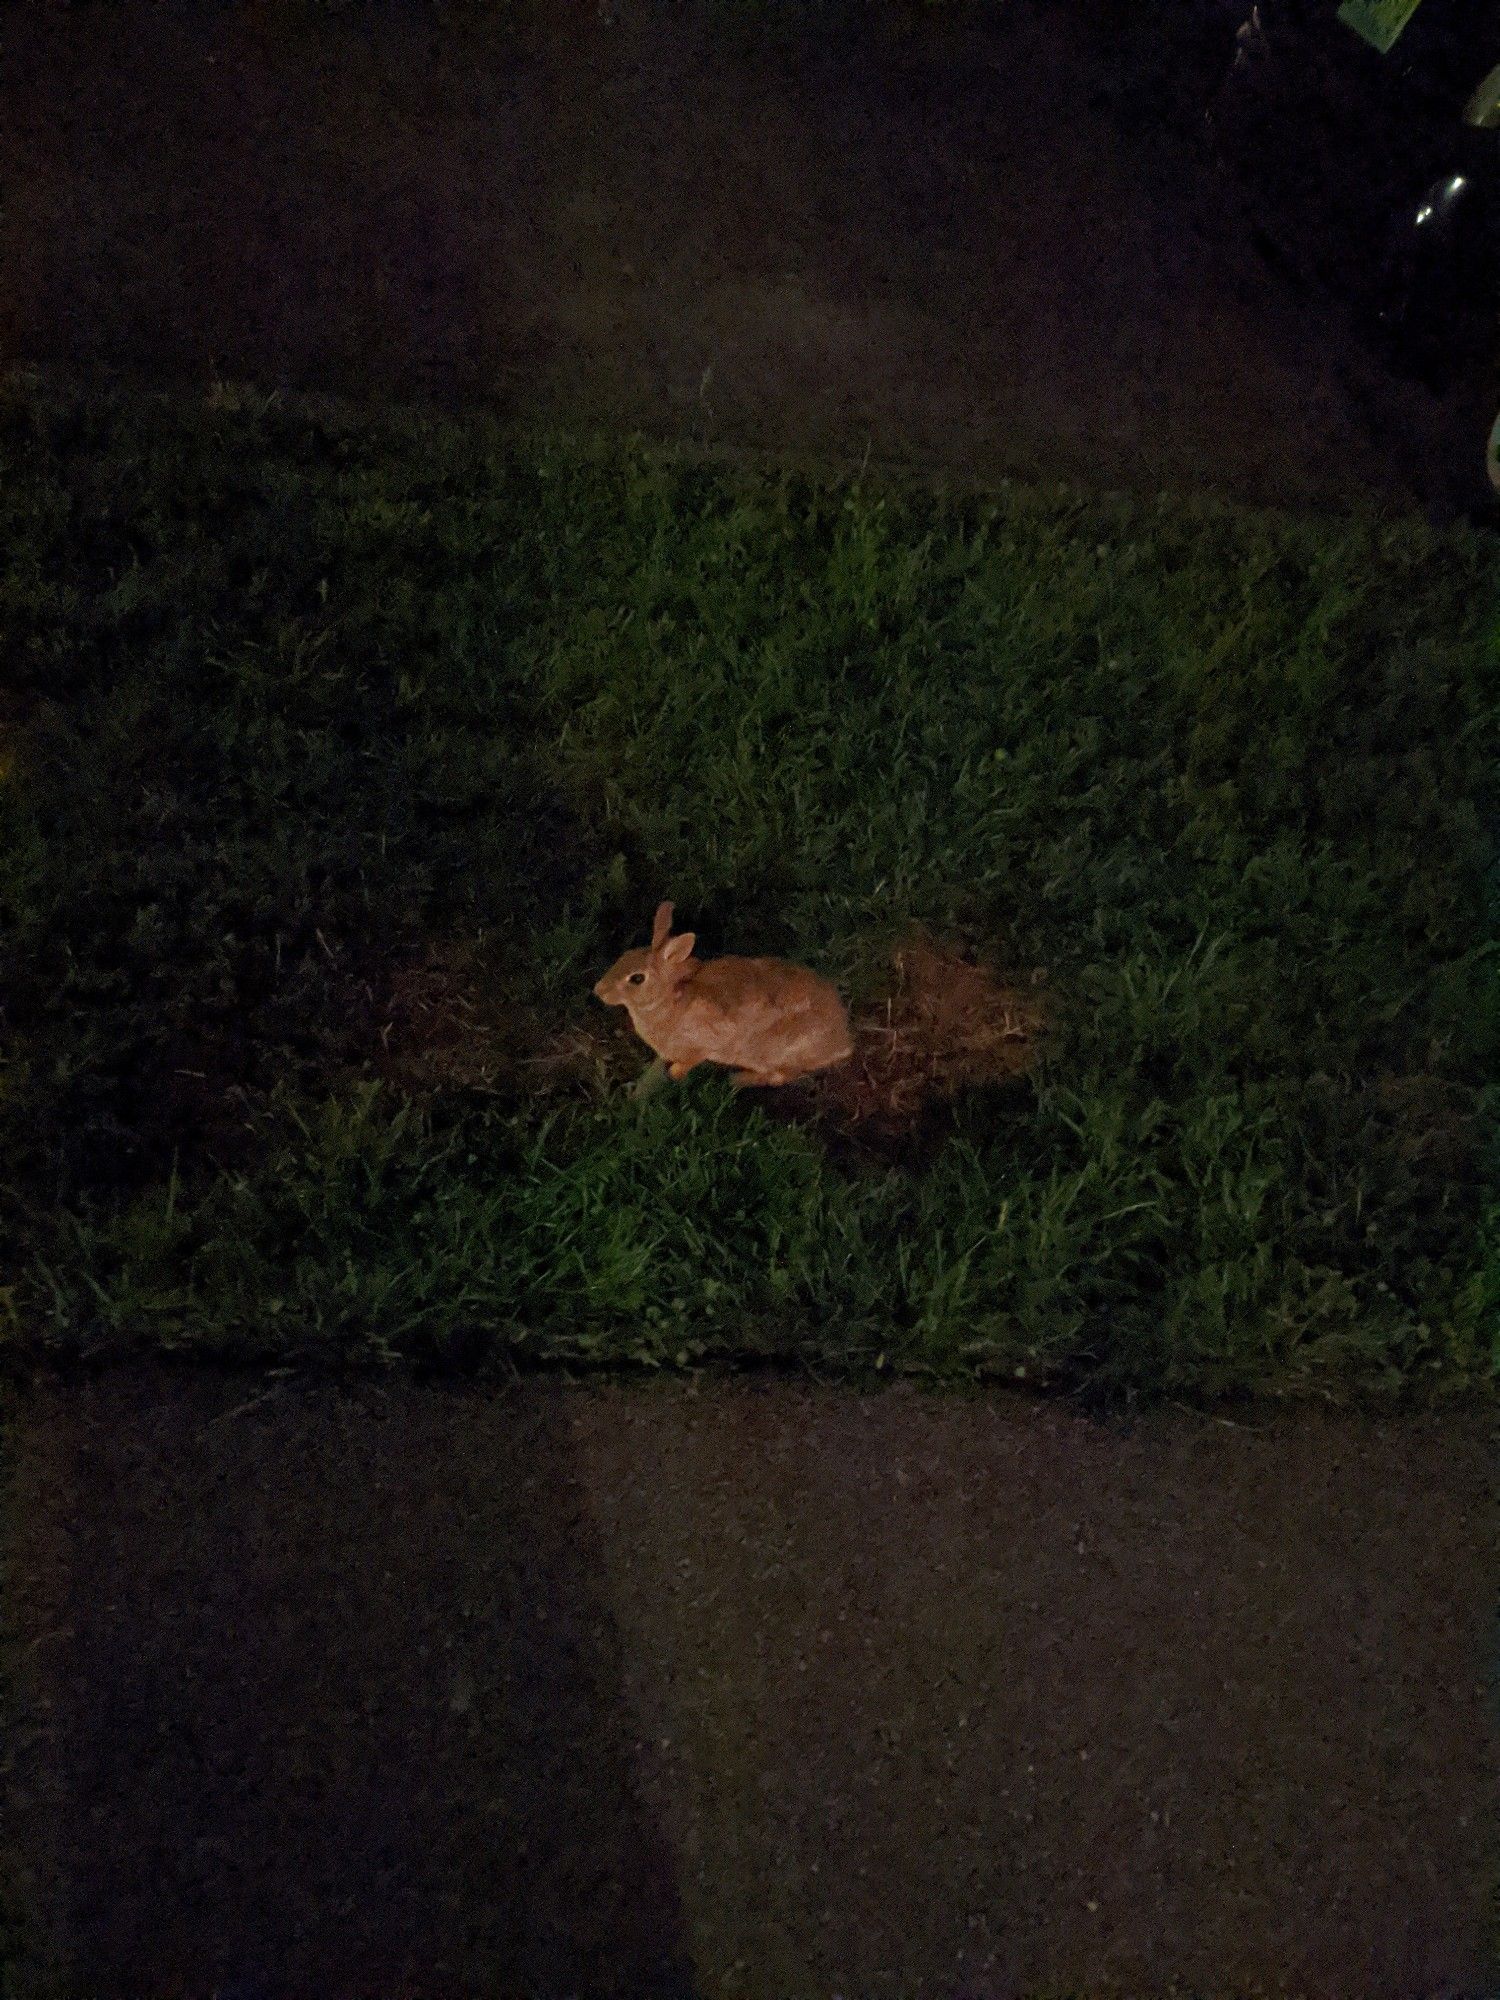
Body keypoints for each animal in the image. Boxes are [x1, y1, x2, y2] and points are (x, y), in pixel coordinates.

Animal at [600, 904, 856, 1088]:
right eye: (625, 955)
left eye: (637, 979)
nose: (599, 990)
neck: (670, 996)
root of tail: (841, 1042)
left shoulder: (703, 1043)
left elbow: (693, 1059)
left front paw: (674, 1074)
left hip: (774, 1052)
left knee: (781, 1076)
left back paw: (737, 1080)